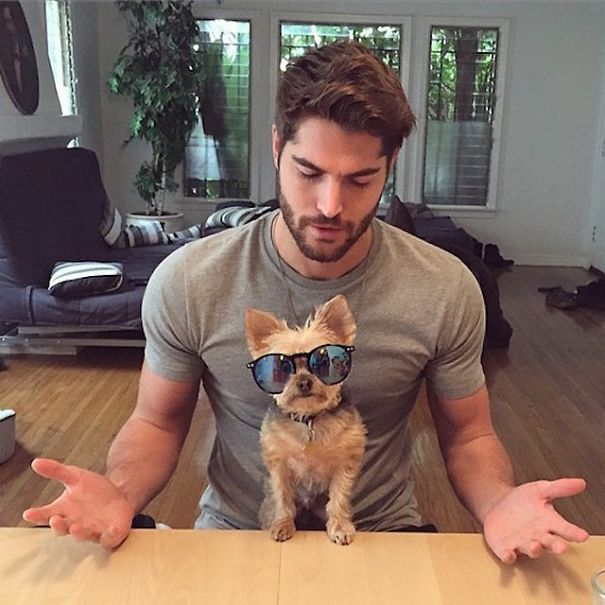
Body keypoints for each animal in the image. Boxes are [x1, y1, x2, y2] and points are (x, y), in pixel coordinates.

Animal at [243, 292, 366, 544]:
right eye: (281, 366)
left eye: (322, 360)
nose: (303, 381)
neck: (309, 419)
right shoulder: (278, 465)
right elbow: (282, 497)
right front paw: (282, 525)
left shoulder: (345, 462)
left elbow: (339, 497)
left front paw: (340, 527)